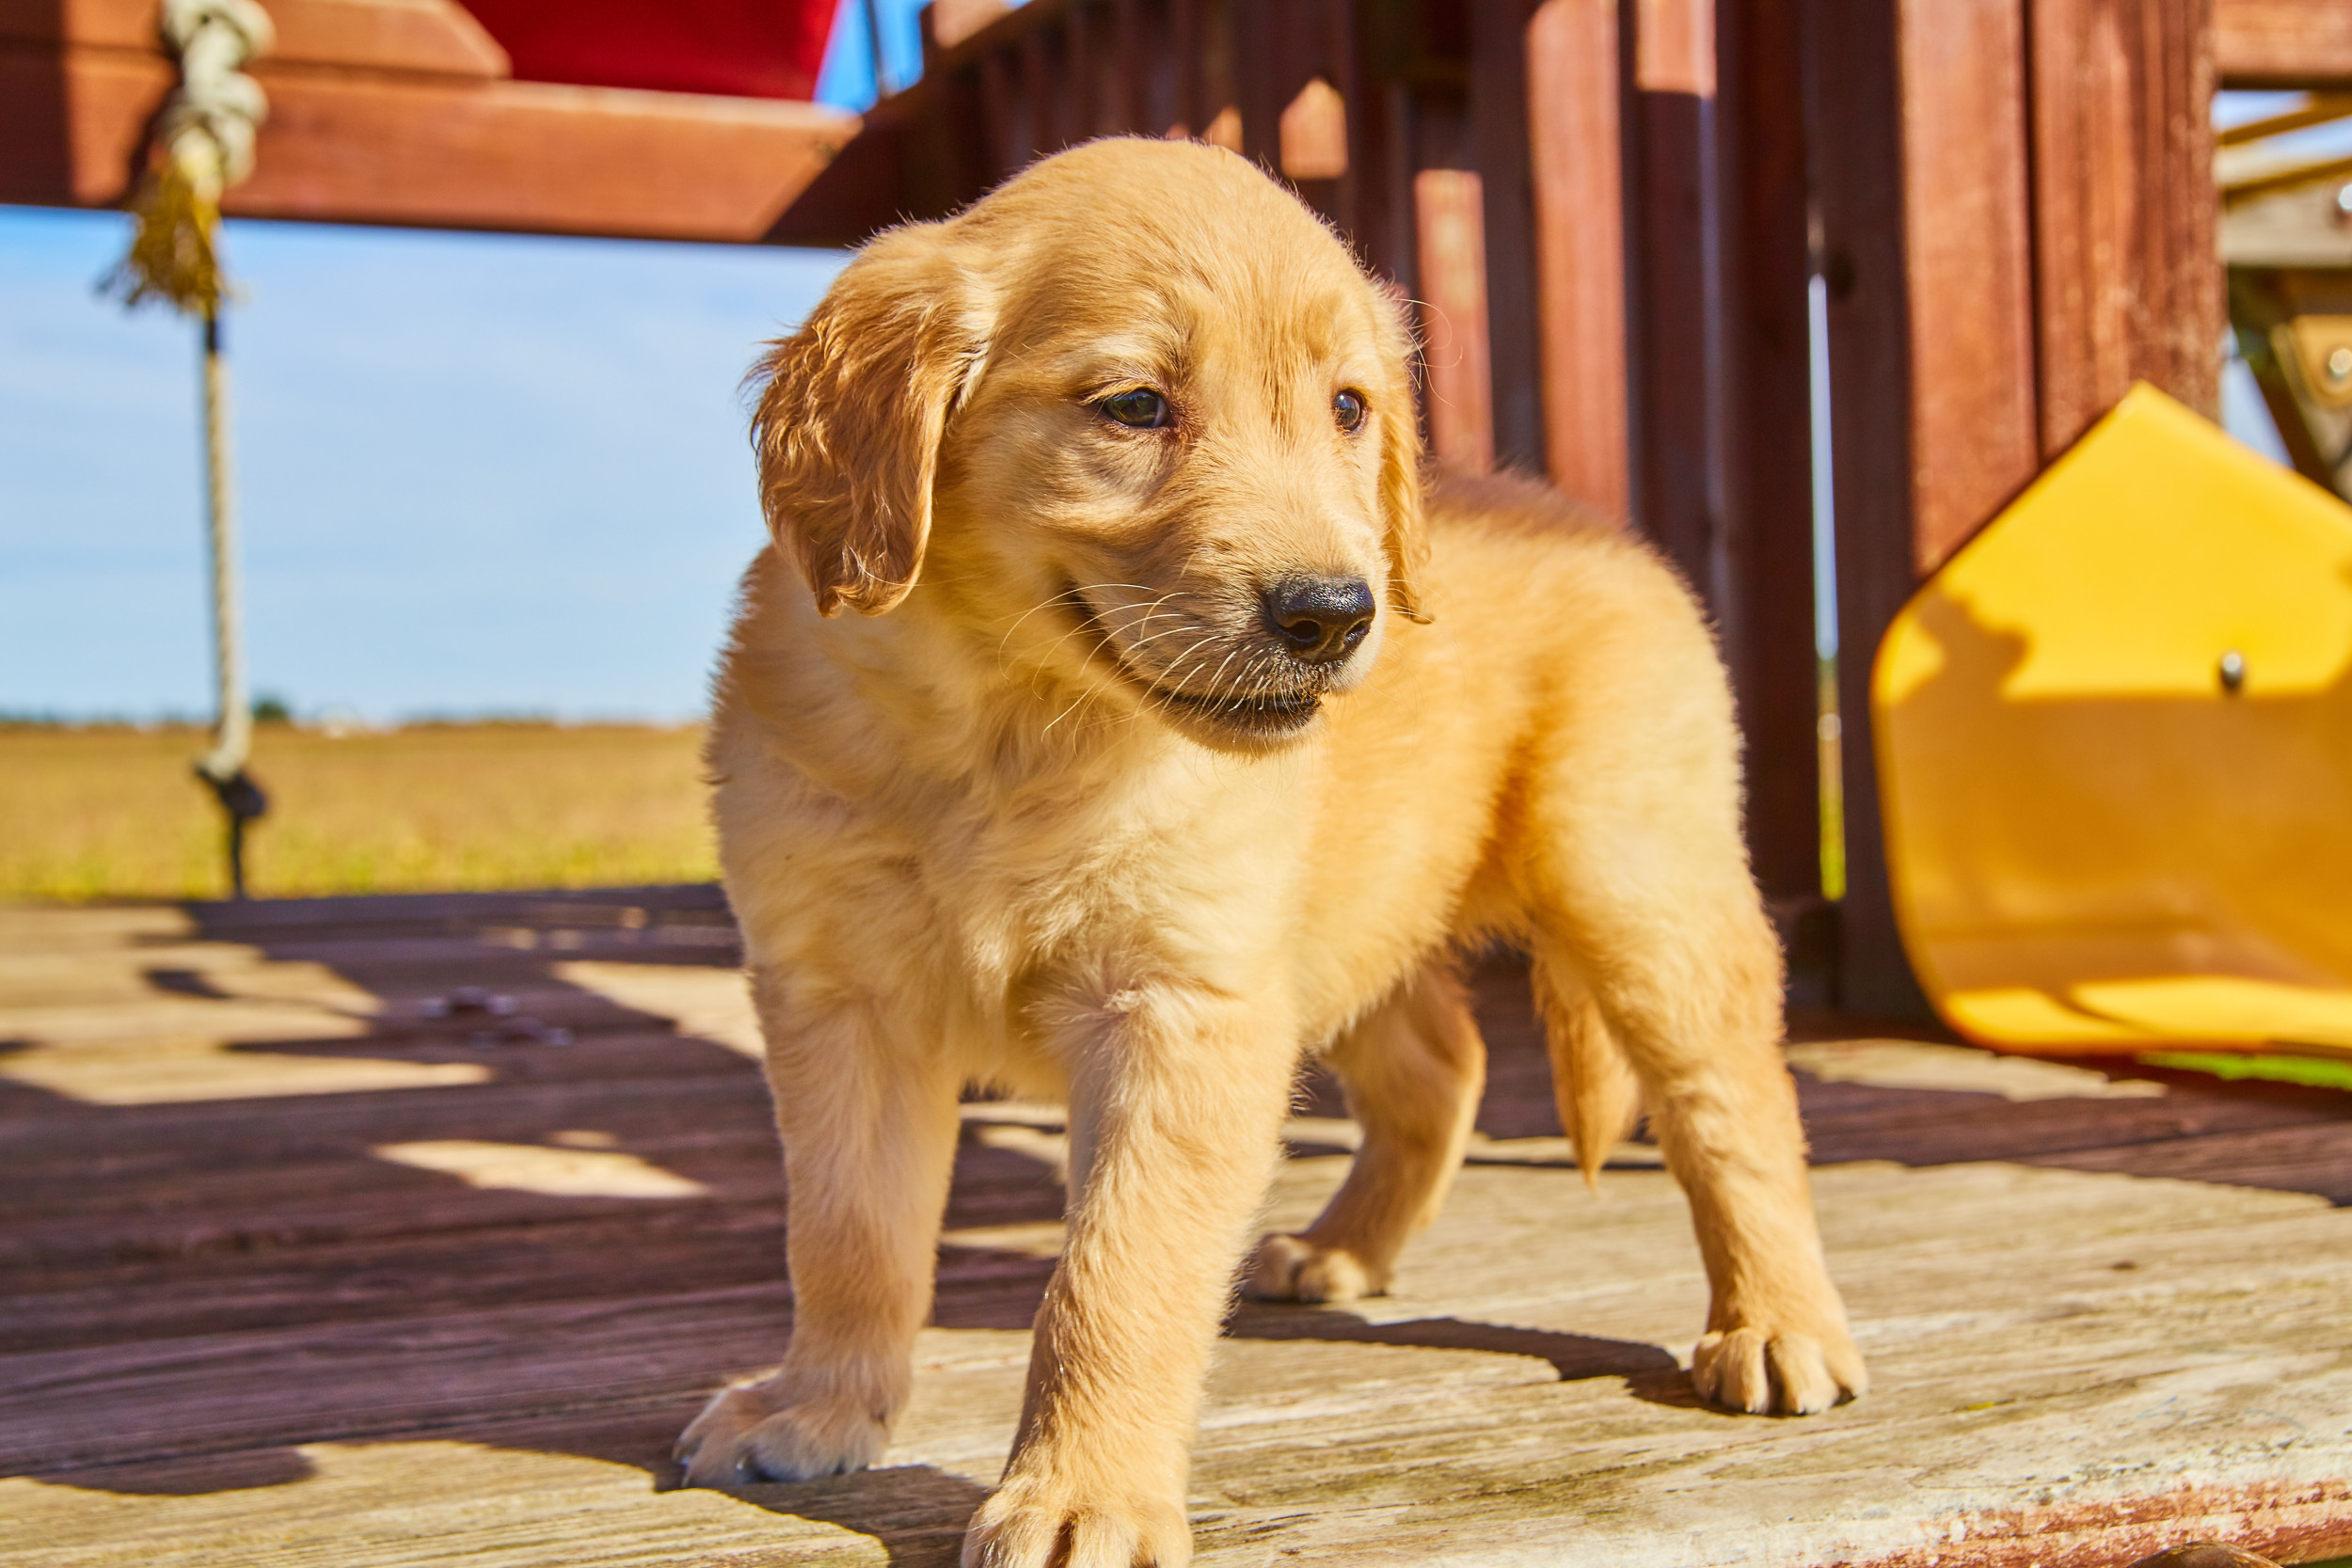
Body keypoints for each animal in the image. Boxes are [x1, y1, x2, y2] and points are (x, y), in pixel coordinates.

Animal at [677, 137, 1853, 1568]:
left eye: (1348, 409)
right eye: (1134, 406)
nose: (1335, 613)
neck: (1014, 727)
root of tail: (1595, 524)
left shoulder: (1184, 1006)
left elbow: (1115, 1271)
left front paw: (1081, 1492)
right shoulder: (841, 998)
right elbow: (846, 1230)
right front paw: (819, 1404)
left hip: (1639, 883)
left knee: (1730, 1098)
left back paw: (1780, 1323)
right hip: (1353, 913)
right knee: (1441, 1065)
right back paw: (1347, 1250)